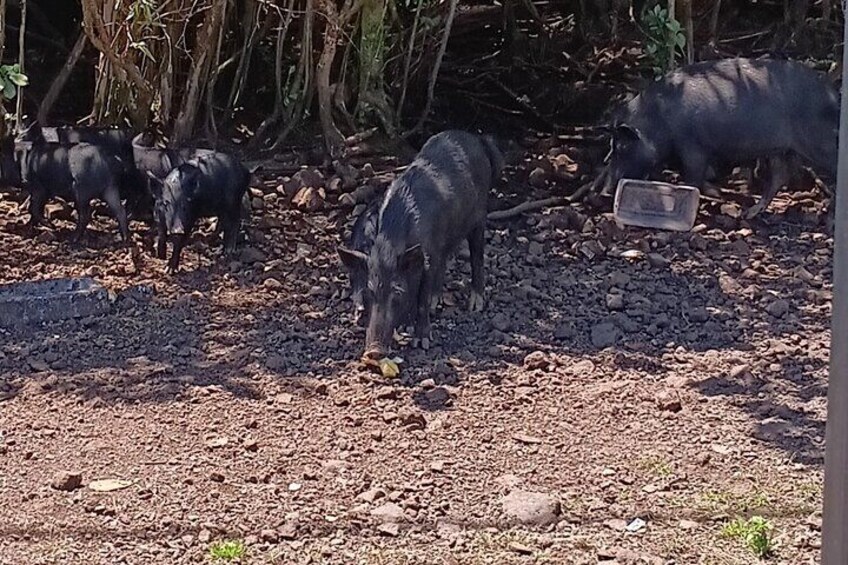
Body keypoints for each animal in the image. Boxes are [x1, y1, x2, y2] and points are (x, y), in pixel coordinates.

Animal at [338, 130, 504, 356]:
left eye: (396, 292)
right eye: (369, 292)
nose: (374, 351)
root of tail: (477, 138)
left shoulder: (427, 258)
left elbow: (422, 298)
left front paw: (421, 341)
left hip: (479, 216)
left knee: (477, 256)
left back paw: (475, 305)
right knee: (446, 259)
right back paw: (438, 302)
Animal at [596, 57, 840, 218]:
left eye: (623, 147)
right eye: (611, 148)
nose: (605, 192)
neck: (659, 118)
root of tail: (831, 93)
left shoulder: (693, 146)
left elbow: (692, 177)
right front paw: (717, 194)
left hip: (817, 139)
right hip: (779, 148)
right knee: (780, 176)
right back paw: (749, 214)